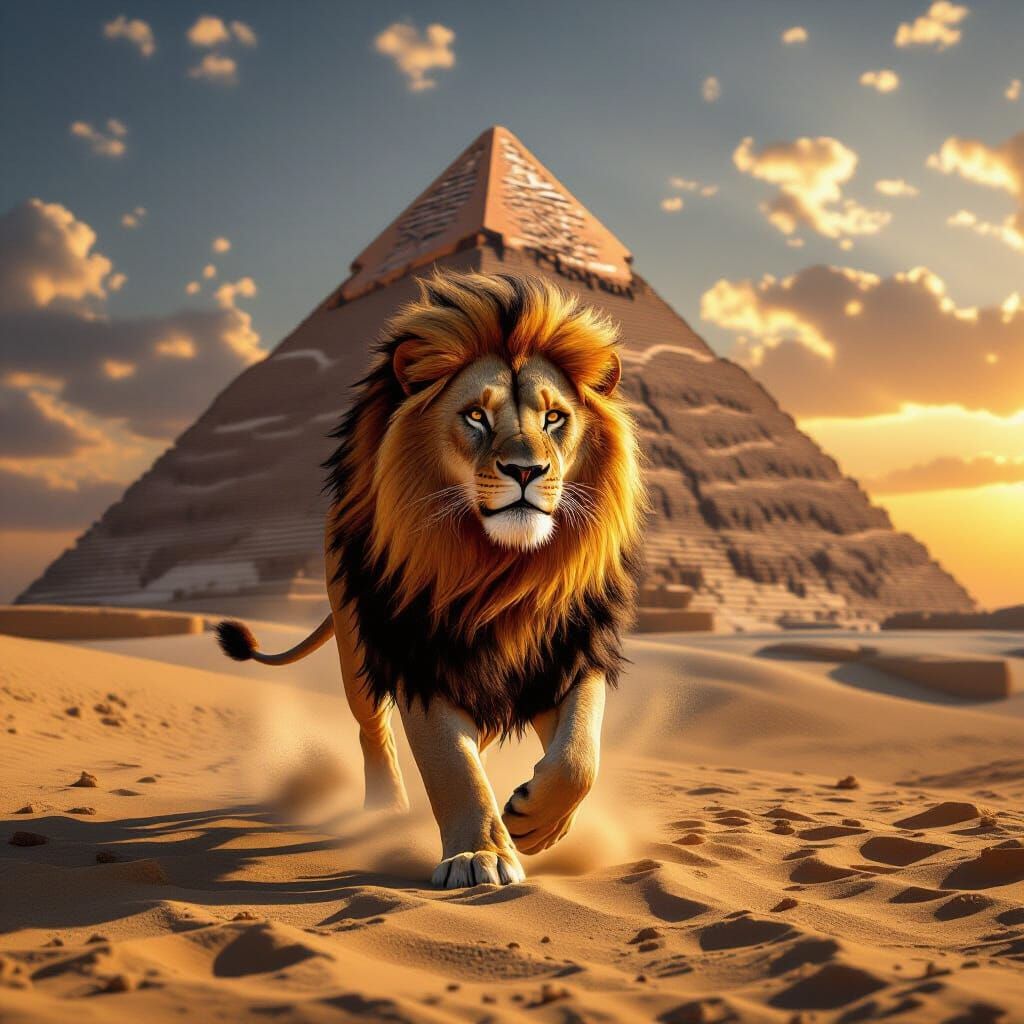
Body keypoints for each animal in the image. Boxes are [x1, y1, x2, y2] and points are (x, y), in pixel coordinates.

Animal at [216, 269, 646, 888]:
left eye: (554, 418)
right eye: (476, 416)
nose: (525, 470)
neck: (500, 574)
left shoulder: (568, 650)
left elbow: (578, 756)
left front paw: (536, 824)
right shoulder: (419, 656)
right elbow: (451, 766)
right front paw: (480, 855)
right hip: (355, 643)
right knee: (372, 728)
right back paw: (383, 808)